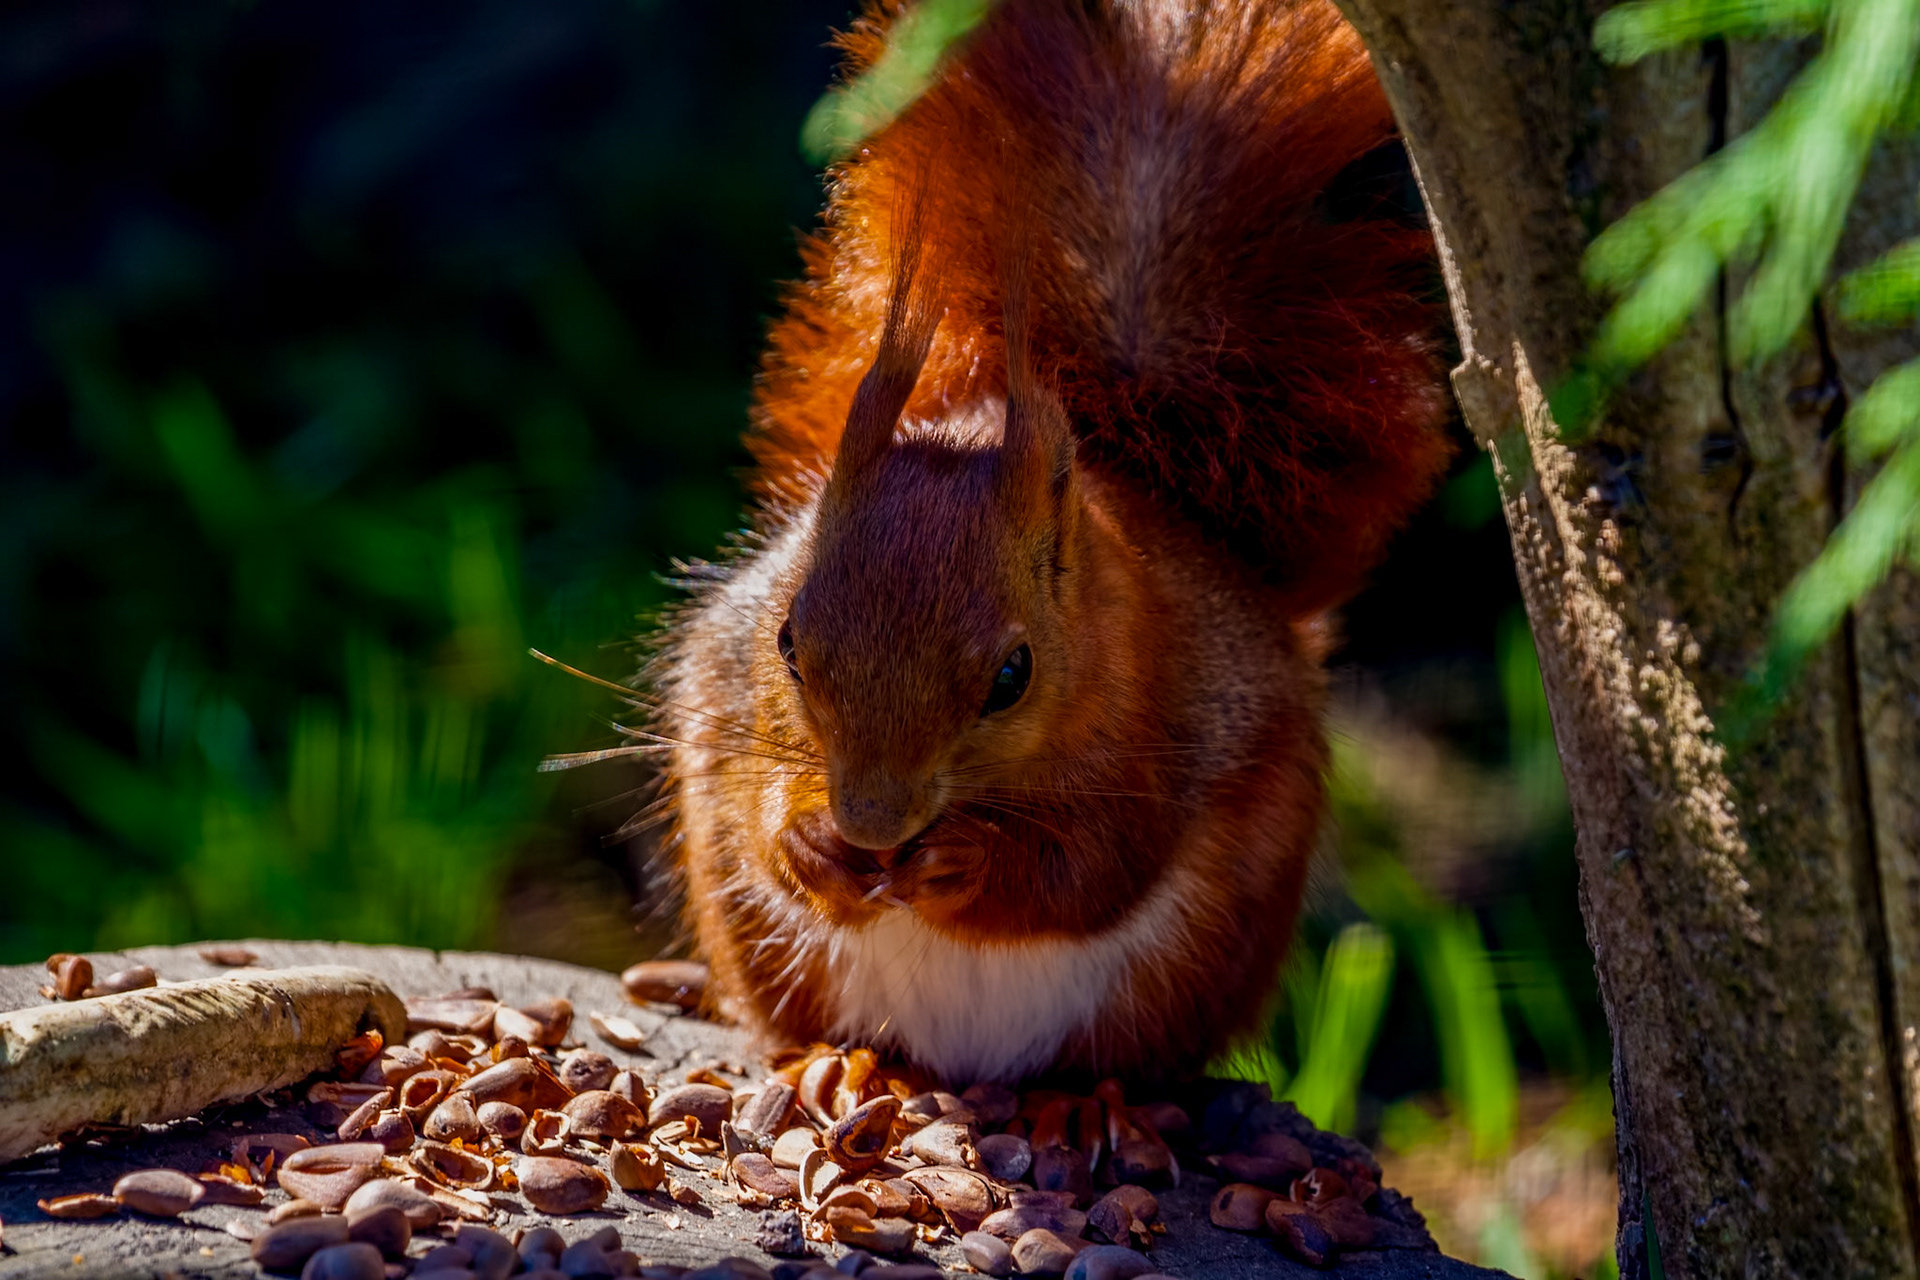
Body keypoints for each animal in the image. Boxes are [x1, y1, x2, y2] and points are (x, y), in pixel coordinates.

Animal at [644, 0, 1450, 1084]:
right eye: (788, 644)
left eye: (1011, 676)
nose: (872, 824)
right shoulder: (734, 694)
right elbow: (758, 800)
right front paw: (810, 844)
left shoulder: (1170, 715)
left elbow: (1092, 865)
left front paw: (967, 860)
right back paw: (844, 1062)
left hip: (1191, 971)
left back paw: (1085, 1100)